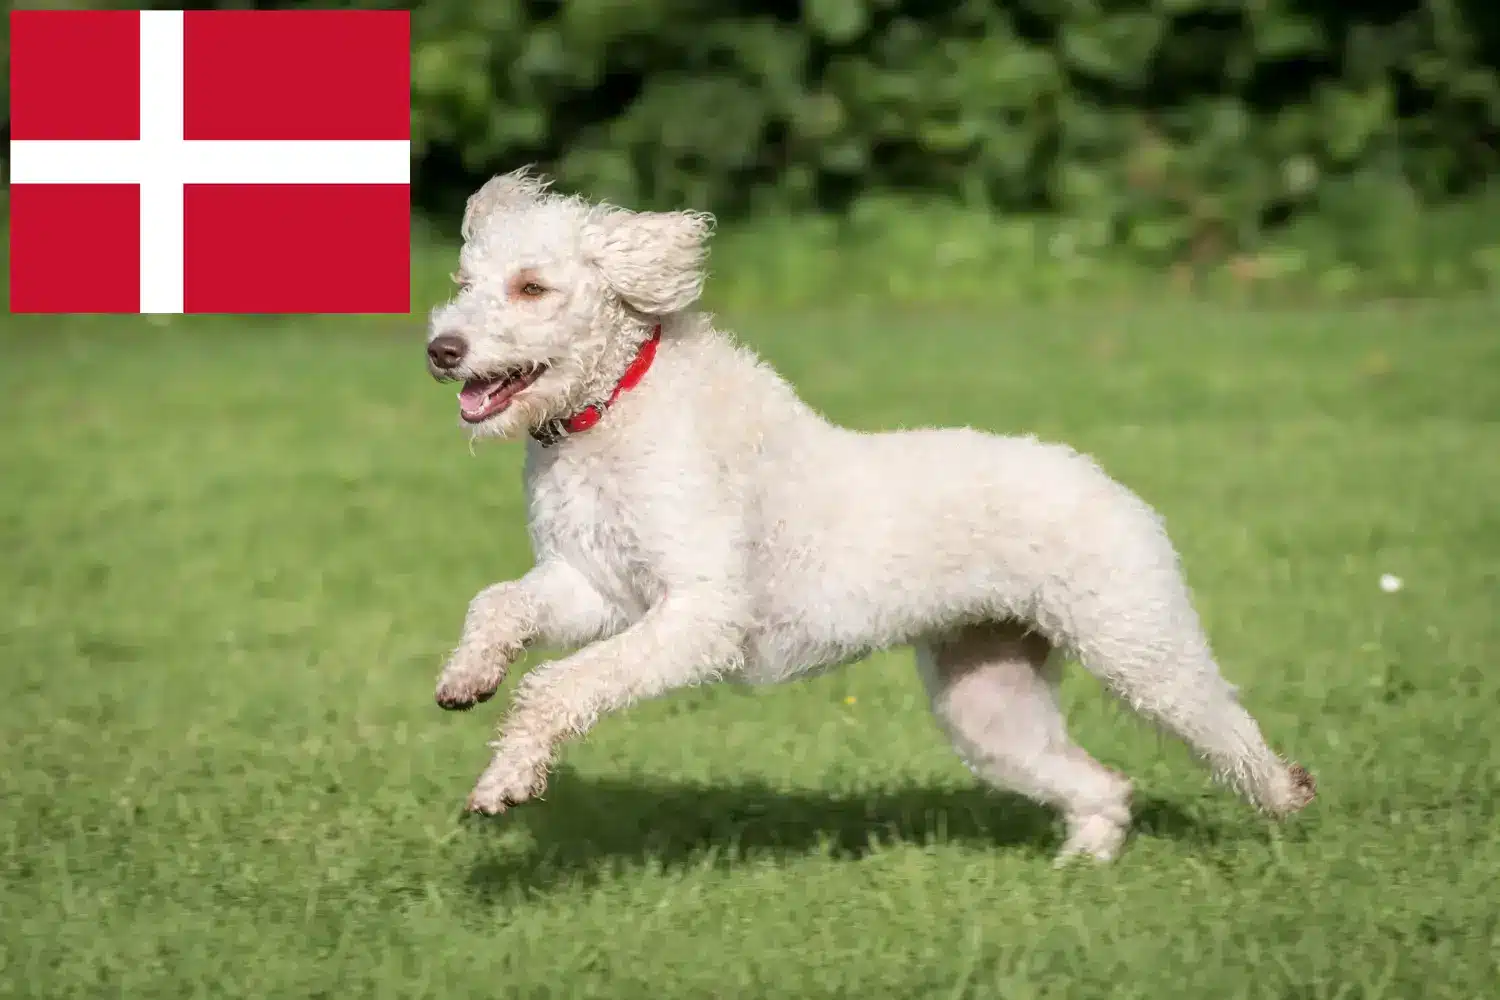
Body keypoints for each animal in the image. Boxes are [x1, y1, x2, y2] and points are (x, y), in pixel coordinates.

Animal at [423, 170, 1314, 863]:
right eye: (464, 283)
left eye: (531, 287)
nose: (441, 350)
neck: (613, 405)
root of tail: (1104, 479)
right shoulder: (597, 586)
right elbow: (497, 606)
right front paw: (468, 681)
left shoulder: (700, 615)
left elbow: (558, 686)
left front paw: (509, 777)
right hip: (987, 697)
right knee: (1102, 783)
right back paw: (1087, 859)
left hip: (1138, 642)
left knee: (1225, 727)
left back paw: (1286, 800)